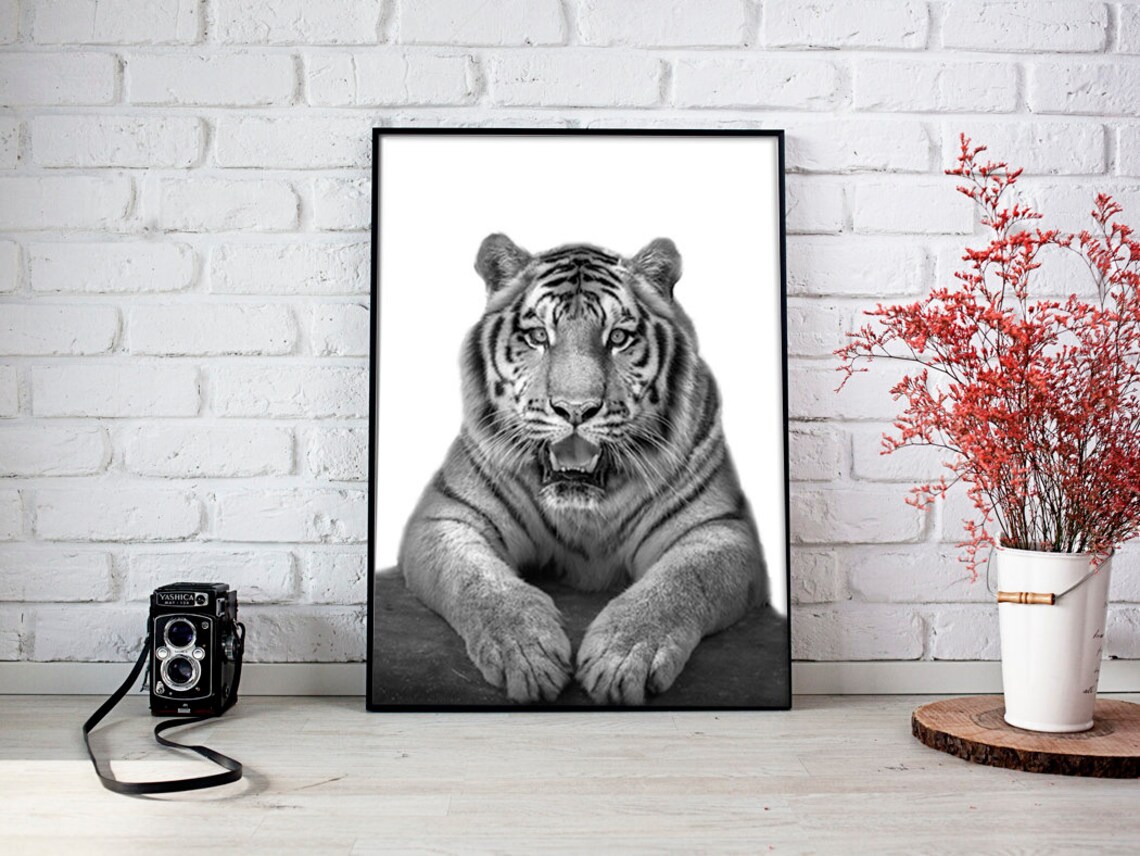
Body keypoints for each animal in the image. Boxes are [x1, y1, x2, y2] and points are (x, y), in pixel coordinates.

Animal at [398, 233, 767, 705]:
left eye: (619, 338)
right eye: (538, 336)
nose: (576, 410)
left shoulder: (720, 530)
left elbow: (682, 582)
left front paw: (623, 656)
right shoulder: (446, 518)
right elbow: (477, 580)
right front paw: (527, 652)